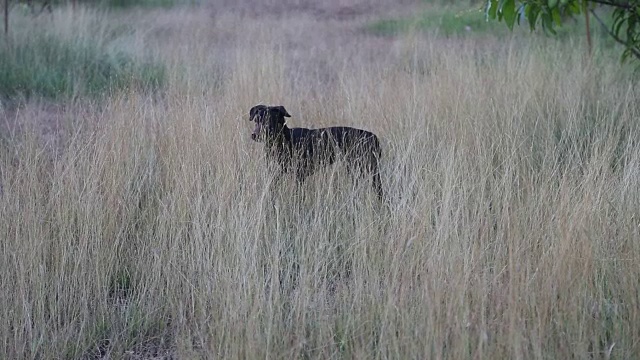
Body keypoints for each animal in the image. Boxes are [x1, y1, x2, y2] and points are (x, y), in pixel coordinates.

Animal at [248, 104, 382, 200]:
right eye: (256, 120)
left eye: (270, 121)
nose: (254, 135)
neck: (285, 140)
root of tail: (373, 137)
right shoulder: (276, 173)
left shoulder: (299, 175)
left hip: (362, 168)